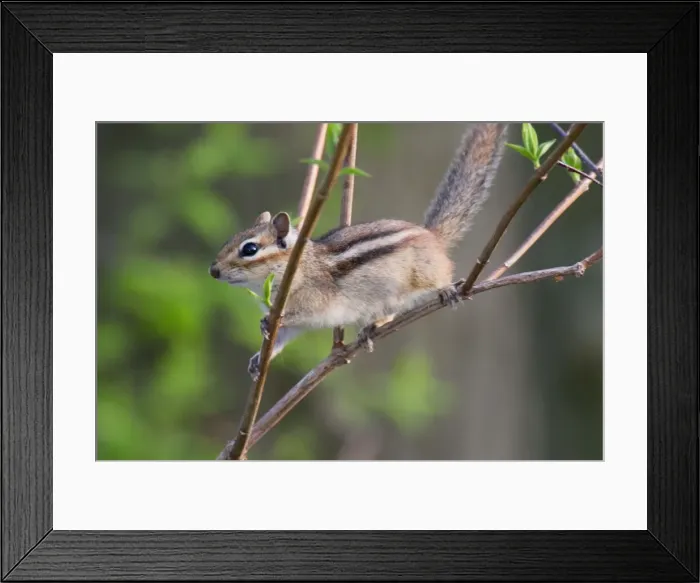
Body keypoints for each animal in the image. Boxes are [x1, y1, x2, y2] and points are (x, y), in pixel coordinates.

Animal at [209, 123, 509, 380]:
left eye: (250, 249)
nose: (213, 270)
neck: (296, 268)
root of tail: (431, 236)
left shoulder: (314, 299)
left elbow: (296, 314)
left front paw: (268, 320)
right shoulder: (293, 327)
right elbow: (282, 337)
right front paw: (258, 358)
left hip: (423, 274)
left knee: (442, 276)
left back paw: (447, 290)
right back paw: (368, 330)